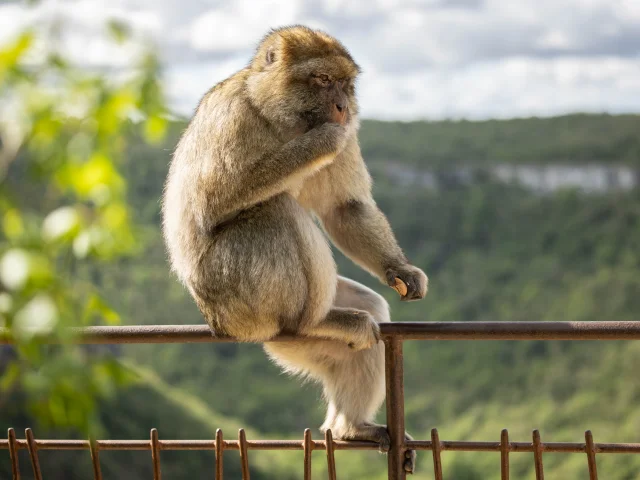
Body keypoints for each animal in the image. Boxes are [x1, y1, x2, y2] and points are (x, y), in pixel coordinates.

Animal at [162, 24, 428, 470]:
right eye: (322, 79)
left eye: (344, 84)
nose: (341, 106)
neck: (276, 117)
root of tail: (220, 323)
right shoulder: (233, 118)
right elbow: (214, 201)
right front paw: (318, 143)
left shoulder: (347, 135)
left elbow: (344, 207)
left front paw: (400, 269)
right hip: (237, 296)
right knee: (277, 209)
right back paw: (310, 320)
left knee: (367, 311)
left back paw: (349, 426)